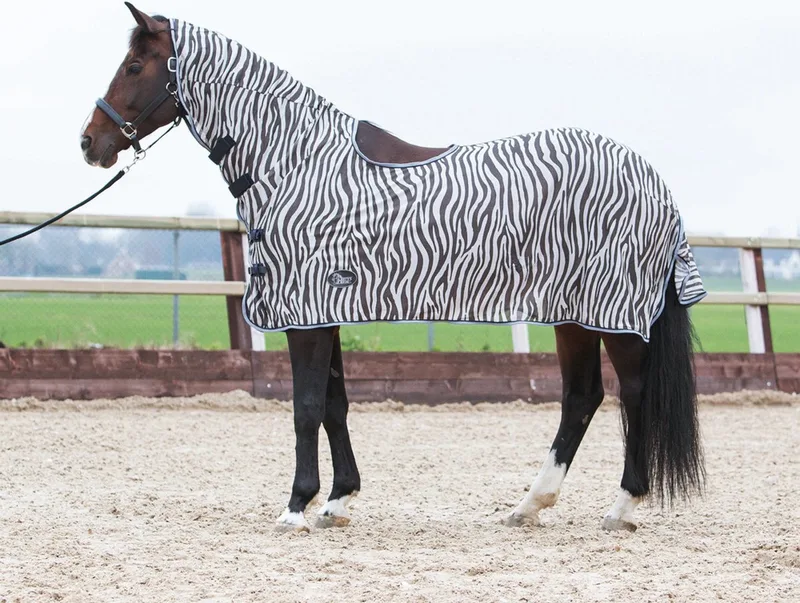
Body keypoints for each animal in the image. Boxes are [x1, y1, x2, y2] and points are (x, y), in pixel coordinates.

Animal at [80, 3, 706, 533]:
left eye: (135, 65)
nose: (90, 142)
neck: (296, 162)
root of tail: (656, 182)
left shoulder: (305, 312)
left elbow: (306, 408)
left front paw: (295, 507)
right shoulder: (324, 310)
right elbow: (335, 404)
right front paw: (337, 501)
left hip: (613, 313)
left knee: (632, 392)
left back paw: (622, 506)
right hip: (573, 314)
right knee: (582, 397)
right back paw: (529, 505)